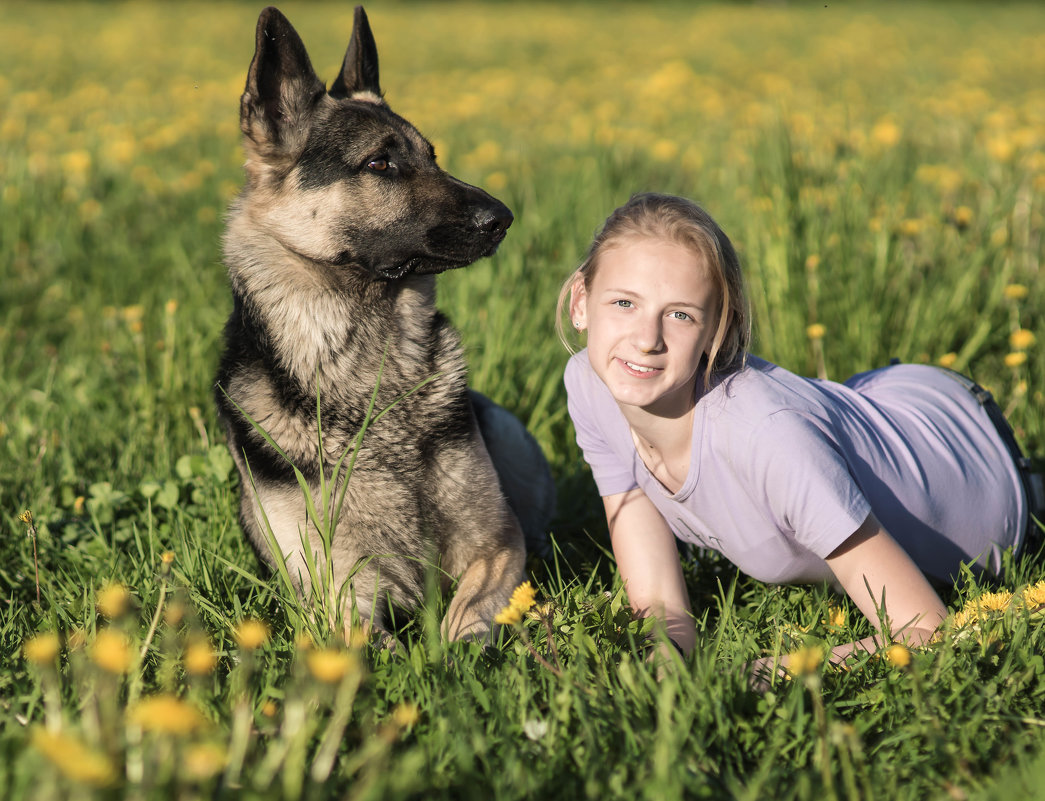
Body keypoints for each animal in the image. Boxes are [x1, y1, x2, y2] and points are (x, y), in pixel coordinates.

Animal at [213, 6, 555, 643]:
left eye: (434, 156)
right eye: (379, 163)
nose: (502, 218)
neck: (371, 376)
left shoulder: (497, 547)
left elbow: (465, 620)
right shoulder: (337, 596)